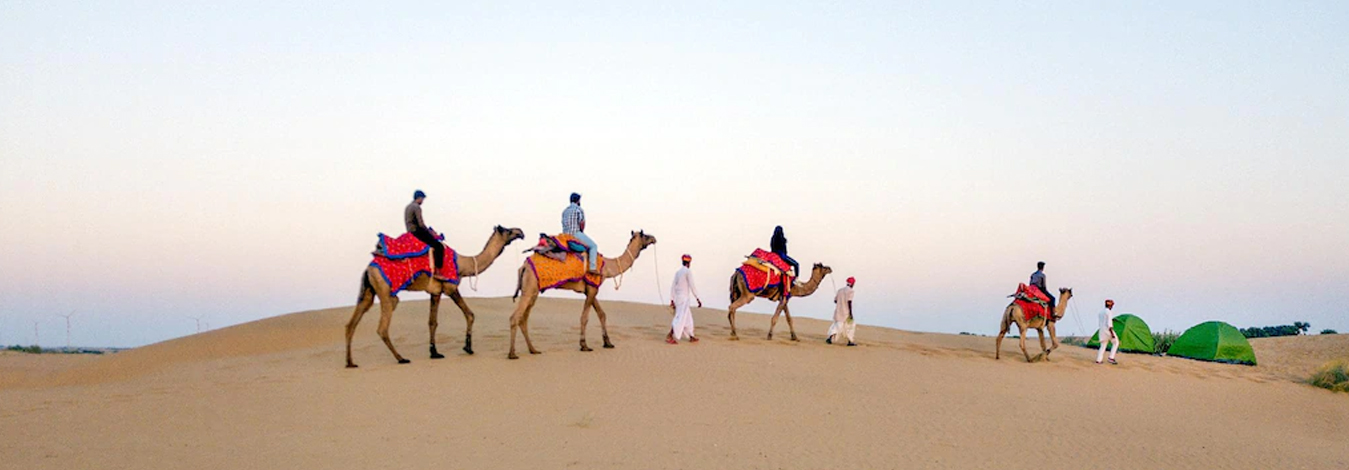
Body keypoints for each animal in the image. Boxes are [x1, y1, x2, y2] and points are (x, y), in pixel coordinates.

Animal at [339, 225, 523, 370]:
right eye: (508, 230)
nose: (520, 232)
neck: (463, 265)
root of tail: (368, 269)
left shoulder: (435, 292)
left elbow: (432, 322)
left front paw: (434, 352)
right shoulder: (450, 287)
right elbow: (470, 314)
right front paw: (468, 347)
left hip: (368, 291)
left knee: (351, 323)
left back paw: (350, 362)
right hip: (385, 291)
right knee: (382, 327)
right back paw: (401, 358)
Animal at [507, 230, 658, 359]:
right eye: (644, 234)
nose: (654, 238)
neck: (607, 267)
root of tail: (524, 266)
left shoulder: (591, 289)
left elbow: (602, 314)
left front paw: (608, 343)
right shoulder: (592, 288)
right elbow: (584, 317)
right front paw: (584, 345)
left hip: (533, 290)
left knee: (523, 319)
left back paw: (533, 350)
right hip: (530, 287)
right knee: (515, 317)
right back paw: (512, 354)